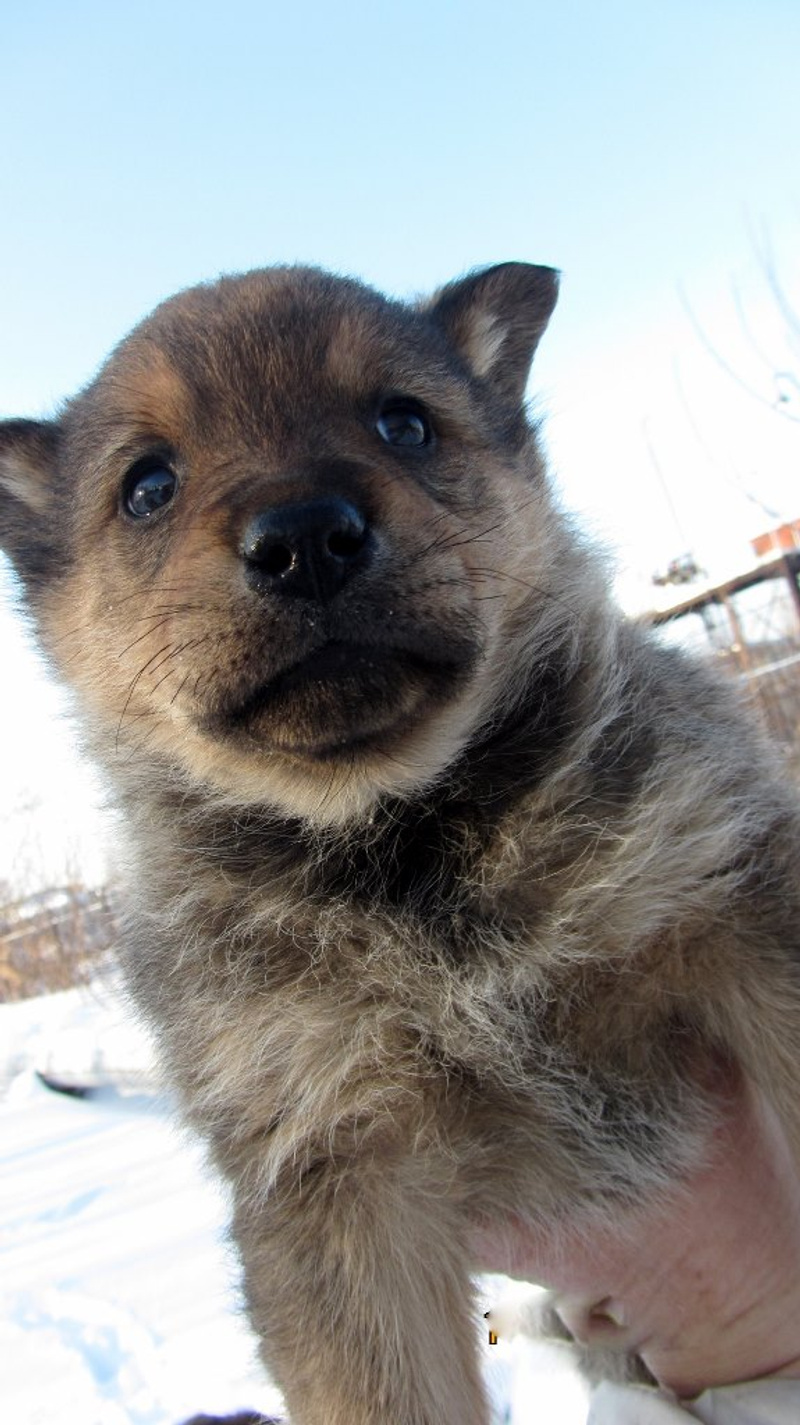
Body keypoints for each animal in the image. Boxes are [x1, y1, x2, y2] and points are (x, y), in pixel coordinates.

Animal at [2, 262, 800, 1421]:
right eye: (147, 486)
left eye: (404, 421)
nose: (303, 535)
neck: (406, 852)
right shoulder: (330, 1171)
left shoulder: (737, 903)